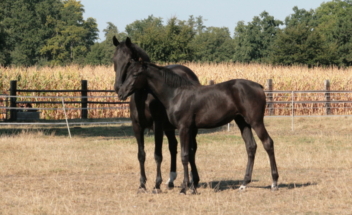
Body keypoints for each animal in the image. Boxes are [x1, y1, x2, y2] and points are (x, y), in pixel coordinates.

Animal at [113, 37, 201, 193]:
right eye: (114, 60)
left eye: (129, 61)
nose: (118, 89)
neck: (144, 97)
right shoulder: (137, 126)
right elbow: (141, 155)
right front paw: (142, 185)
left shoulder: (157, 126)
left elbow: (158, 155)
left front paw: (156, 185)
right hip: (170, 128)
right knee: (173, 146)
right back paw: (171, 180)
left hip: (189, 128)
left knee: (191, 150)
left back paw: (193, 181)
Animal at [119, 59, 280, 194]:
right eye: (127, 73)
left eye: (135, 74)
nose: (121, 93)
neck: (177, 94)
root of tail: (259, 86)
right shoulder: (187, 129)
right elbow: (188, 154)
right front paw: (190, 186)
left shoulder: (184, 128)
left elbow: (184, 156)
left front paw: (184, 188)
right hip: (242, 122)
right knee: (251, 147)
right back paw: (244, 184)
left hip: (255, 122)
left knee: (268, 143)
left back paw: (274, 182)